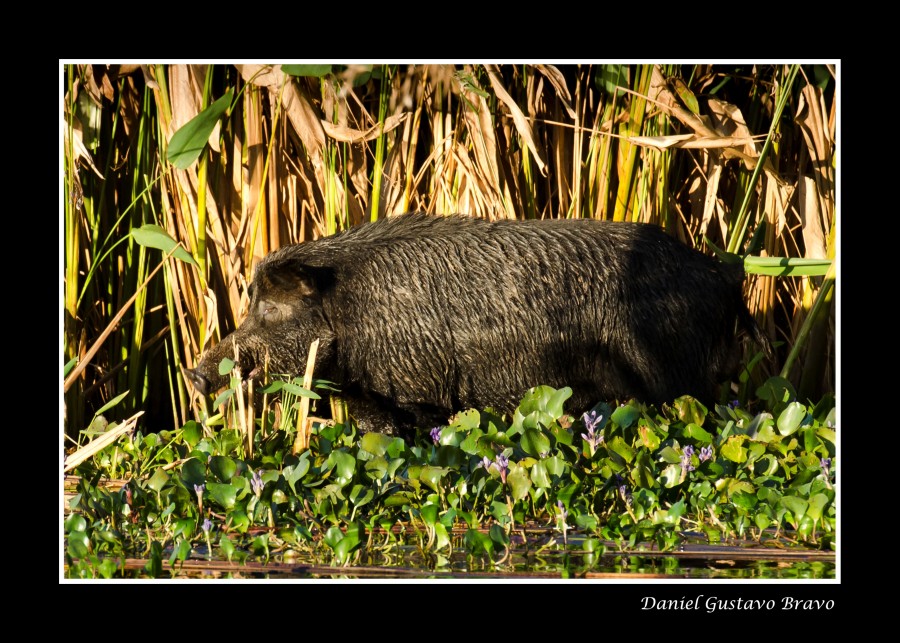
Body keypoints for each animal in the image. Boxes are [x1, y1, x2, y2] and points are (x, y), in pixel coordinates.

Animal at [188, 214, 768, 440]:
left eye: (269, 310)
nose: (195, 374)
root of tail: (723, 277)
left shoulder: (417, 392)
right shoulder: (371, 397)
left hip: (680, 382)